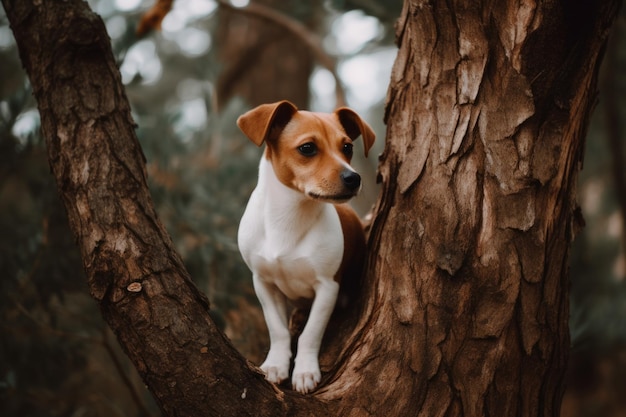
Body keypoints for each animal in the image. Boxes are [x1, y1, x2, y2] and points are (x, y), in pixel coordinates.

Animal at [233, 99, 370, 392]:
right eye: (307, 148)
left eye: (347, 147)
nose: (354, 178)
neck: (290, 216)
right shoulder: (263, 283)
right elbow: (277, 329)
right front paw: (276, 365)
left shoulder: (327, 287)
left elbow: (311, 333)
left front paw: (305, 371)